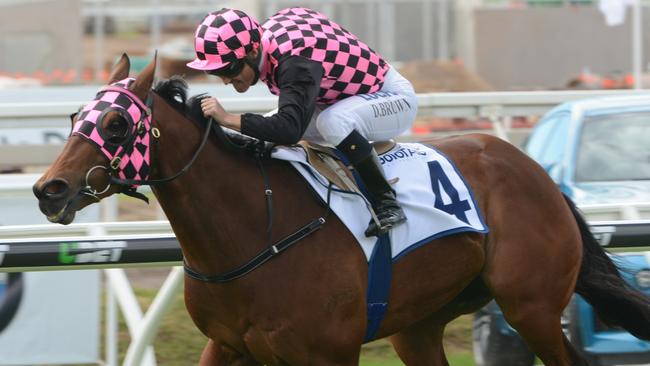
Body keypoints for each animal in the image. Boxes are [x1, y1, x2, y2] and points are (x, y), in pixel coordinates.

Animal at [34, 55, 648, 366]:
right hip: (421, 324)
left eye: (117, 124)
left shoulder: (327, 353)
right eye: (75, 116)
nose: (49, 189)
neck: (256, 230)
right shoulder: (227, 345)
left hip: (532, 307)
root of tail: (536, 170)